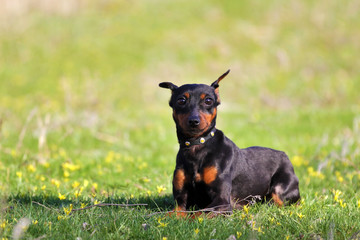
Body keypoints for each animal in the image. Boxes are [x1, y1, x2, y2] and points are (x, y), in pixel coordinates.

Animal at [159, 70, 300, 216]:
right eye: (181, 100)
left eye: (208, 100)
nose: (193, 121)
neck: (197, 145)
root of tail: (284, 155)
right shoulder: (180, 203)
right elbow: (172, 214)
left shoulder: (222, 201)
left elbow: (198, 214)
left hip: (281, 190)